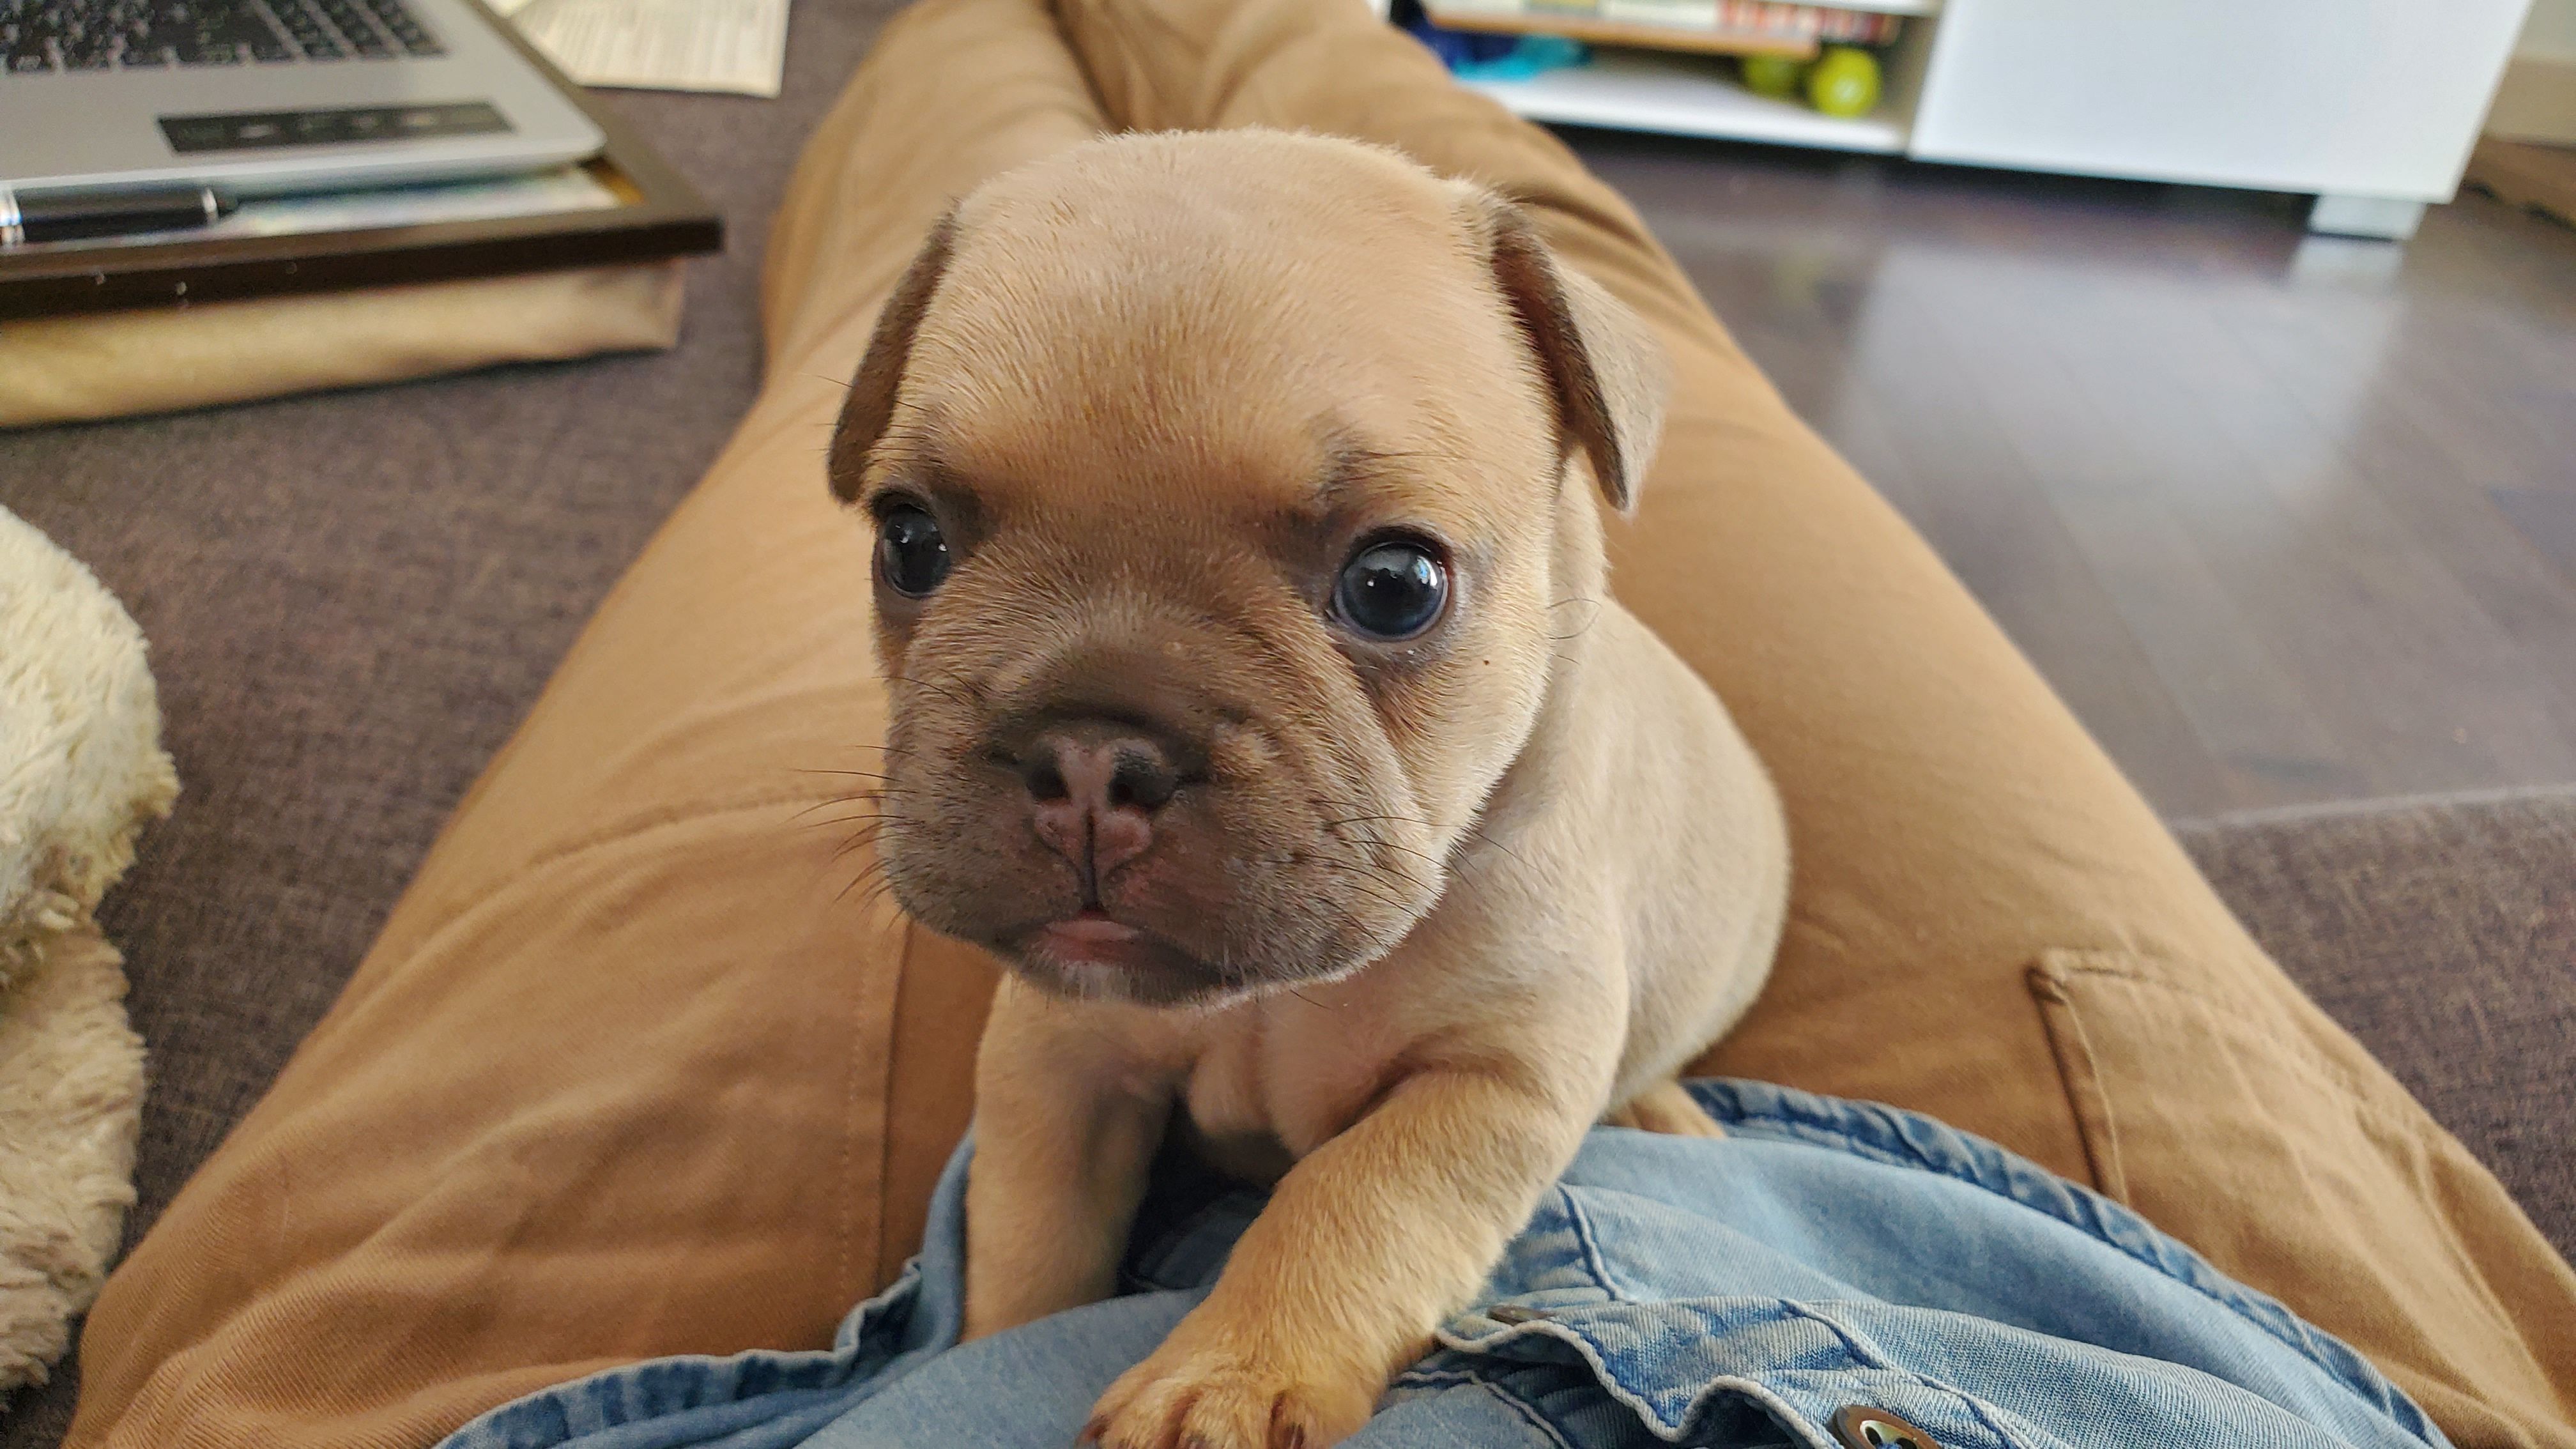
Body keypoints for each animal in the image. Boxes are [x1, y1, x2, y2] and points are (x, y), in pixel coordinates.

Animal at [829, 126, 1793, 1443]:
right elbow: (1032, 1234)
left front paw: (1231, 1374)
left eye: (1395, 583)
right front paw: (989, 1351)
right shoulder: (1057, 1056)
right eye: (910, 542)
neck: (1271, 997)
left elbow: (1356, 1195)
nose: (1088, 748)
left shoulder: (1491, 1080)